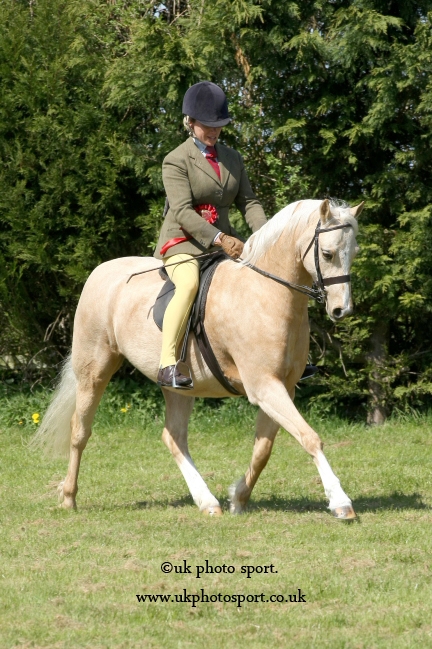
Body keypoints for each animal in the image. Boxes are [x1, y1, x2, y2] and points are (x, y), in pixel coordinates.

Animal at [33, 196, 362, 516]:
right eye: (328, 254)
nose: (341, 310)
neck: (265, 292)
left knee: (173, 436)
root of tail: (101, 271)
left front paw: (238, 498)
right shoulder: (264, 385)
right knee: (80, 430)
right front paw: (340, 501)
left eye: (353, 253)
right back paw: (68, 498)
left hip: (178, 386)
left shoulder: (284, 387)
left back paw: (207, 502)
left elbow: (263, 449)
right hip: (95, 370)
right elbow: (309, 437)